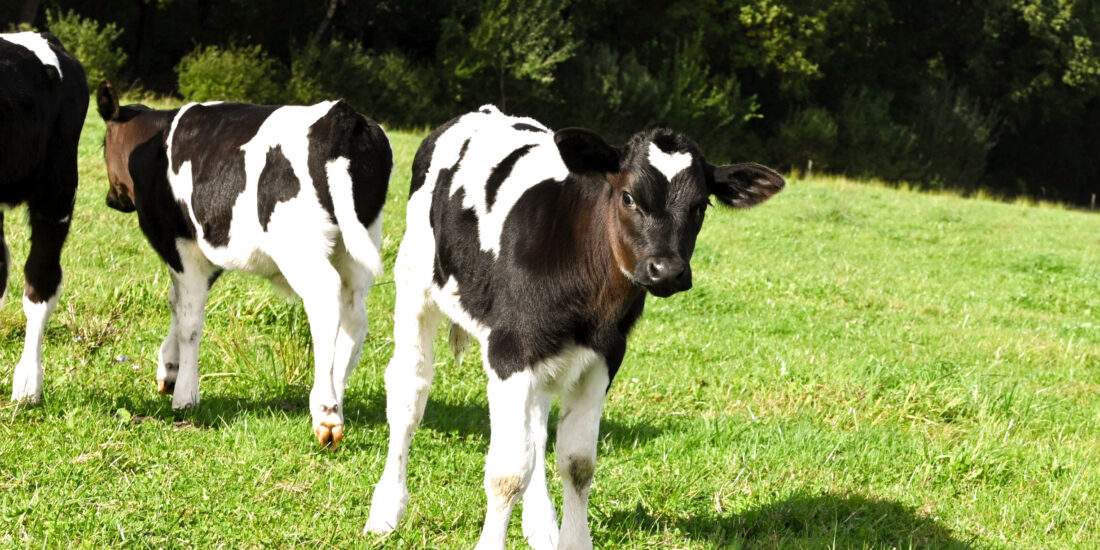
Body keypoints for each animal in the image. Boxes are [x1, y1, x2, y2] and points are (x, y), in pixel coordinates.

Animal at [94, 82, 392, 448]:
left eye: (103, 144)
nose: (112, 199)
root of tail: (341, 115)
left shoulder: (181, 245)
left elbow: (190, 321)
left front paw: (185, 395)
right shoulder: (207, 247)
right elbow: (177, 304)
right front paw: (170, 368)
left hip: (300, 248)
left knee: (325, 300)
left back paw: (326, 411)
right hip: (357, 246)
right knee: (354, 316)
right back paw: (336, 399)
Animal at [363, 105, 785, 549]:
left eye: (701, 206)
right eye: (628, 196)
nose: (667, 269)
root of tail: (482, 111)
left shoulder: (603, 358)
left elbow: (578, 463)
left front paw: (570, 537)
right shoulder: (510, 352)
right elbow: (507, 471)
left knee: (535, 429)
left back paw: (541, 524)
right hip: (414, 286)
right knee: (409, 393)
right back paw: (387, 510)